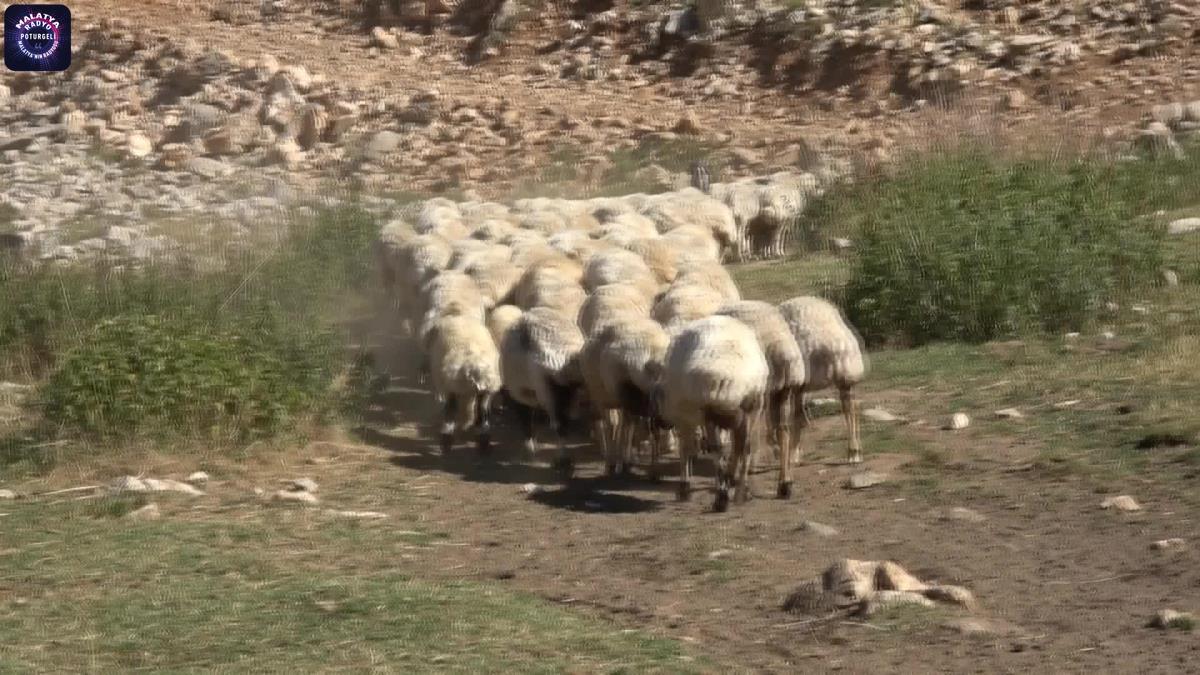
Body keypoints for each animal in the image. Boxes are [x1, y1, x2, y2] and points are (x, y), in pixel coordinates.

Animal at [424, 314, 504, 451]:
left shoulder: (450, 388)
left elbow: (452, 409)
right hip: (487, 389)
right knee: (483, 412)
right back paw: (483, 439)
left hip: (453, 386)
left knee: (452, 410)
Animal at [652, 314, 772, 509]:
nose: (658, 422)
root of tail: (731, 377)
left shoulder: (684, 418)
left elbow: (685, 450)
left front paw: (684, 488)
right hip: (753, 407)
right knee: (744, 447)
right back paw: (741, 491)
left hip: (710, 412)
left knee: (718, 450)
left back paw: (721, 498)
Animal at [710, 299, 806, 494]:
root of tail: (782, 352)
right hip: (783, 389)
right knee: (783, 429)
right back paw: (785, 482)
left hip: (761, 391)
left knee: (746, 437)